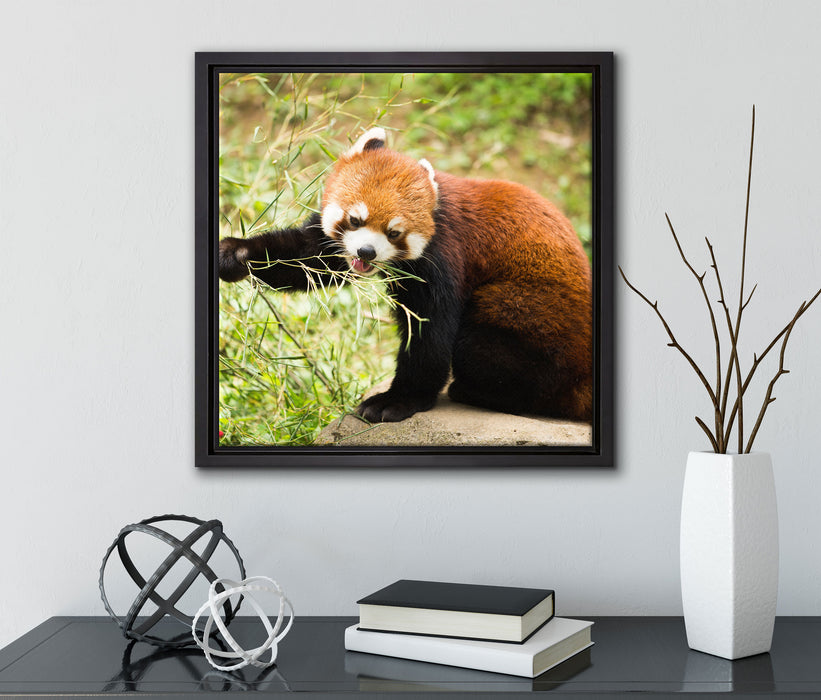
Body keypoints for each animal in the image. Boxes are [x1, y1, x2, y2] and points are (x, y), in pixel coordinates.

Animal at [219, 127, 593, 424]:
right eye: (355, 220)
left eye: (394, 232)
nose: (366, 252)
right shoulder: (333, 245)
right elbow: (309, 256)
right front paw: (237, 254)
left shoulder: (444, 257)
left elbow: (430, 333)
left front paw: (397, 401)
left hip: (526, 315)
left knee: (480, 343)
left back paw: (475, 391)